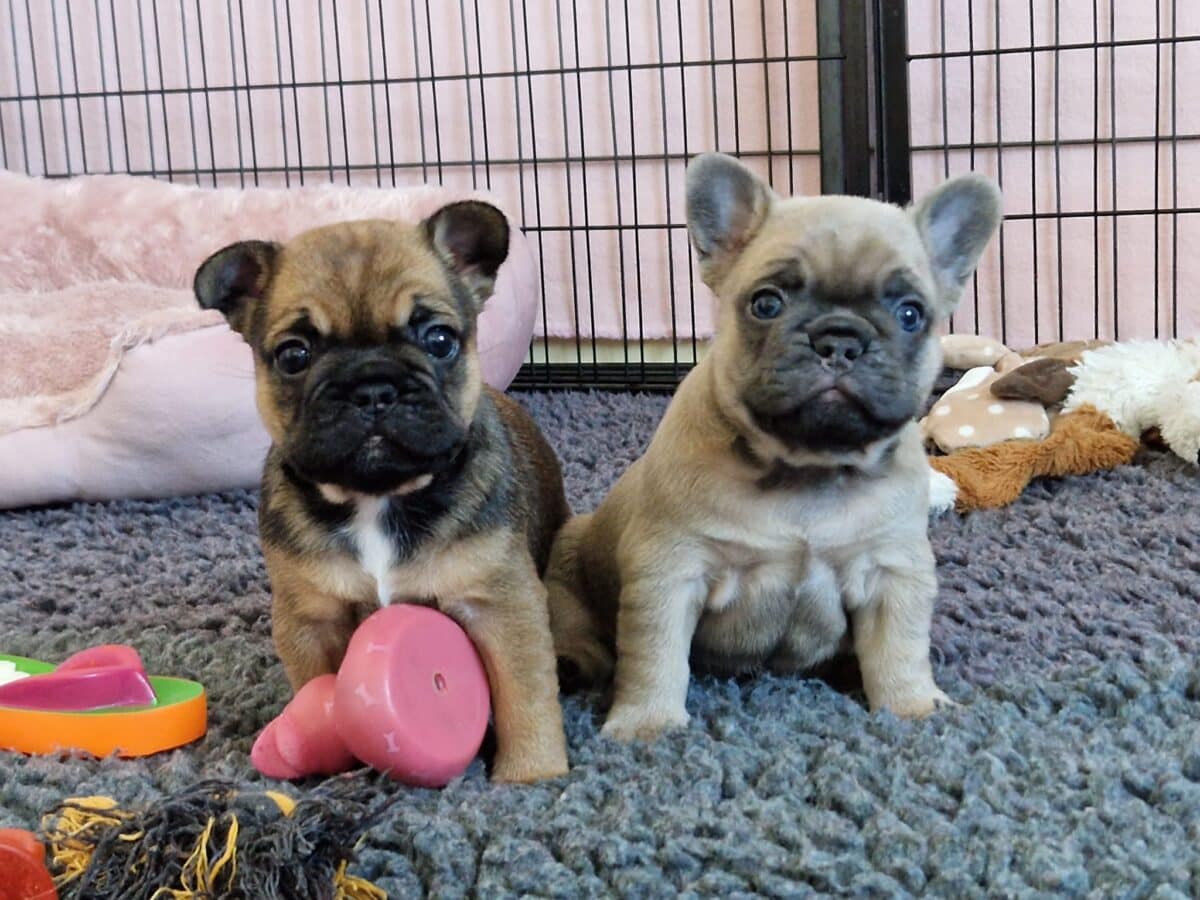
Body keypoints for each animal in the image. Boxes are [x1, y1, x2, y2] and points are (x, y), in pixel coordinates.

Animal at [195, 204, 571, 782]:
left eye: (439, 340)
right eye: (293, 355)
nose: (371, 387)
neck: (377, 497)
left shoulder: (501, 603)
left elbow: (524, 692)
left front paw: (531, 775)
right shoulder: (311, 618)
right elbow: (317, 686)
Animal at [549, 154, 998, 744]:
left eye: (909, 314)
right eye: (766, 303)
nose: (839, 339)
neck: (805, 468)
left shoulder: (894, 574)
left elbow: (900, 647)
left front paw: (913, 709)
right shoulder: (670, 573)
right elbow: (655, 656)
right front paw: (647, 725)